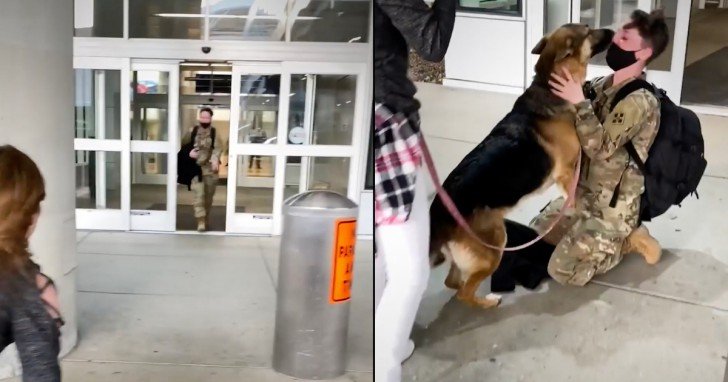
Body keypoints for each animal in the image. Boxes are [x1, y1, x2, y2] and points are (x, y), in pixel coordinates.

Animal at [426, 24, 616, 308]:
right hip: (494, 247)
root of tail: (437, 214)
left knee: (452, 282)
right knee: (463, 292)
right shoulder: (566, 172)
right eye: (588, 30)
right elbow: (575, 199)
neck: (551, 86)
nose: (613, 31)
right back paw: (489, 302)